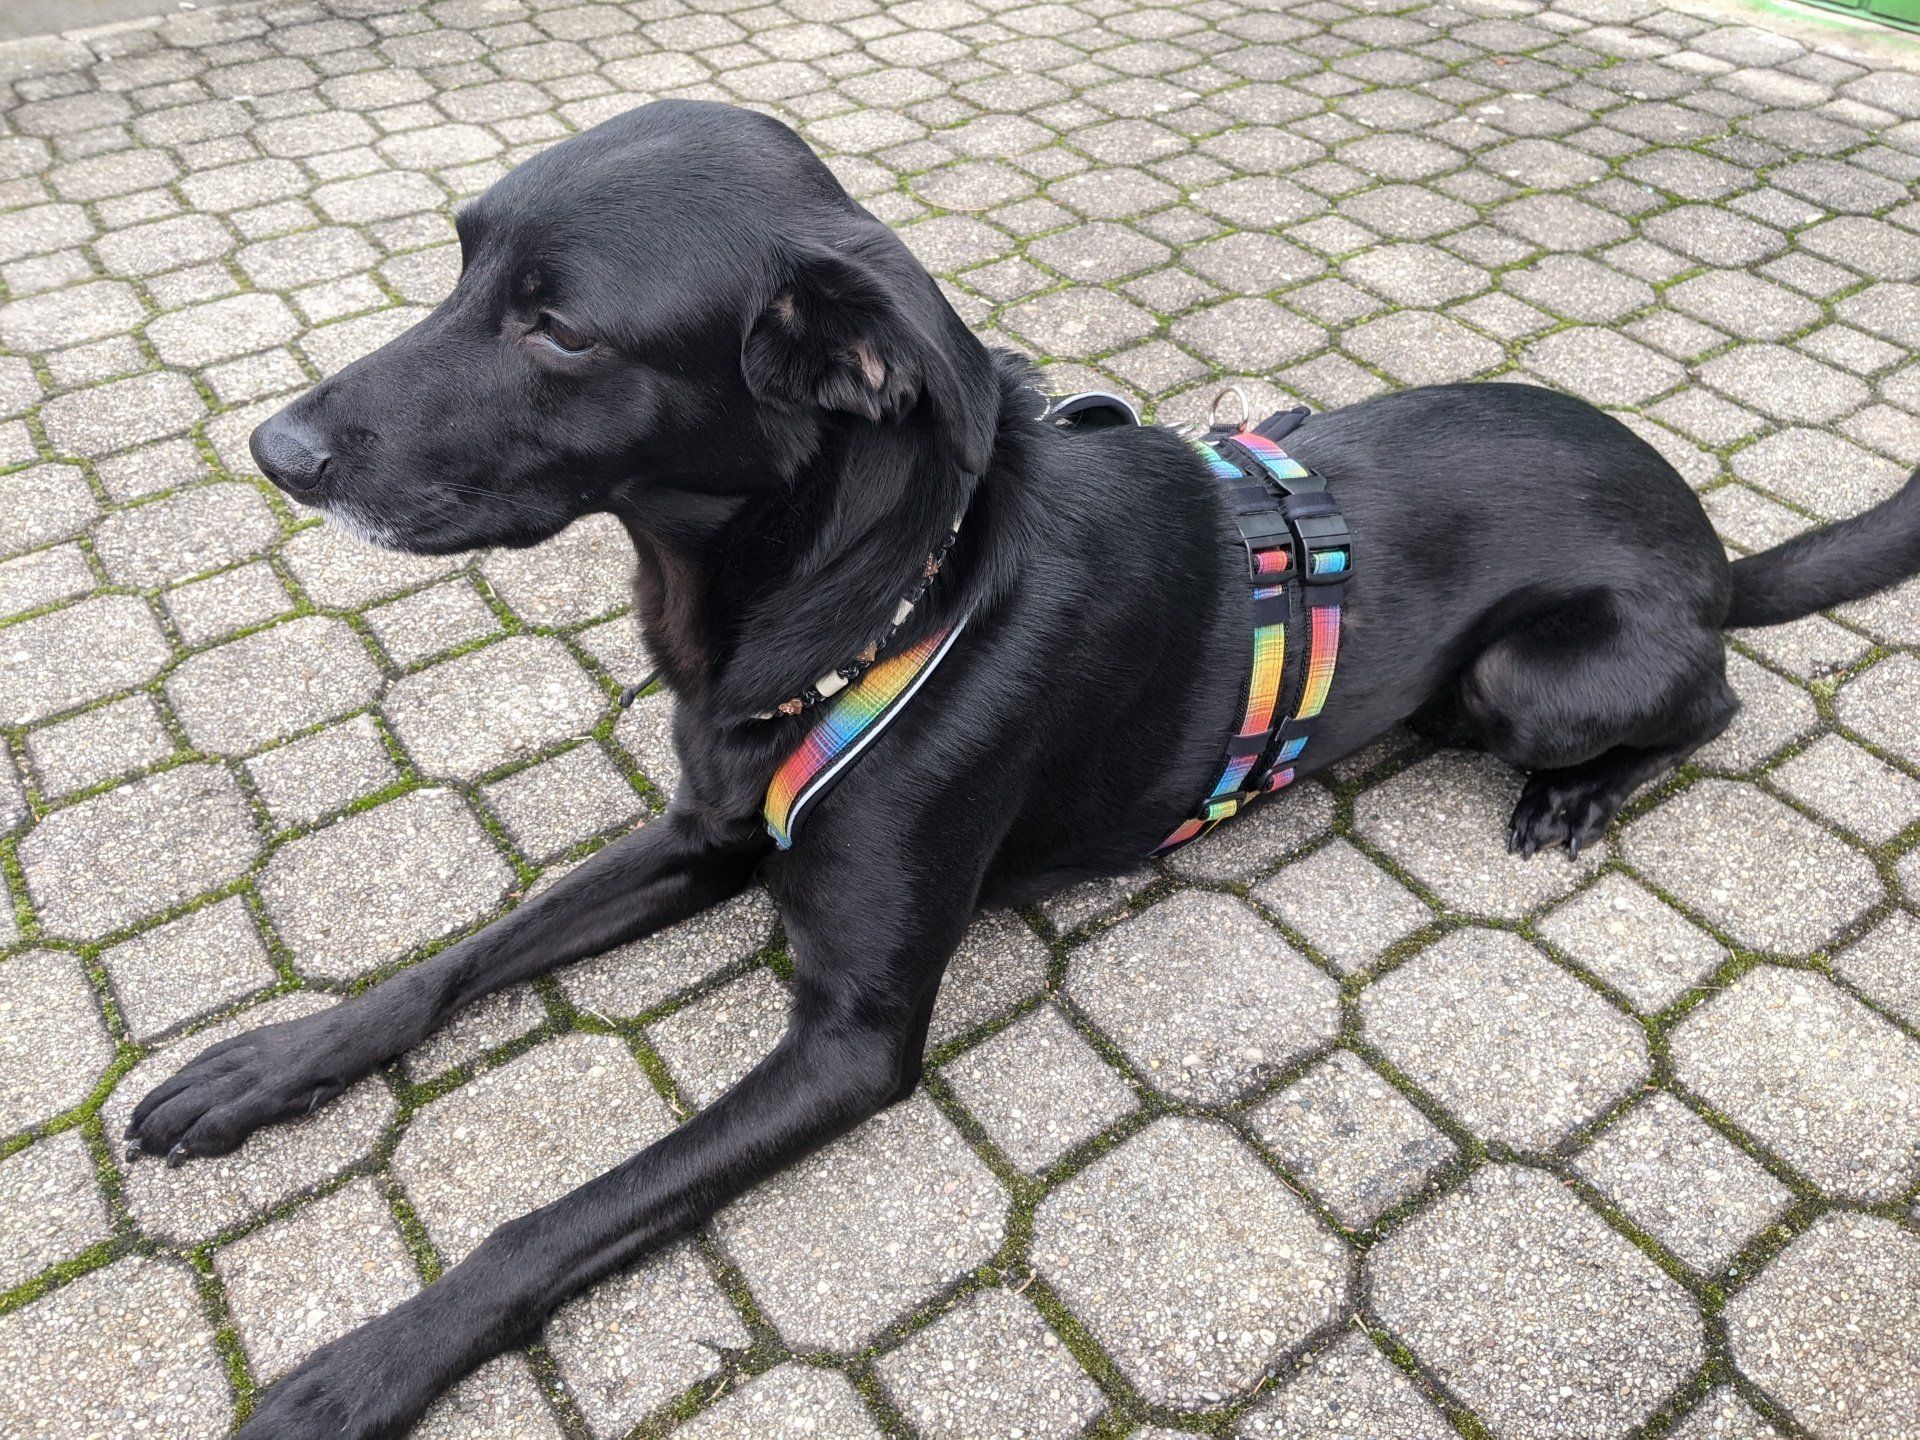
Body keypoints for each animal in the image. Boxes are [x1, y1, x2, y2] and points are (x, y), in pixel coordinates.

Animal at [124, 99, 1920, 1438]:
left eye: (558, 327)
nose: (277, 453)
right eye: (461, 262)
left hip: (1536, 678)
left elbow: (552, 1220)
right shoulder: (709, 833)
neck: (874, 593)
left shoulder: (852, 1040)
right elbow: (449, 966)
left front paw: (363, 1371)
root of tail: (1706, 533)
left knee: (1711, 705)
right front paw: (263, 1067)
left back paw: (1581, 789)